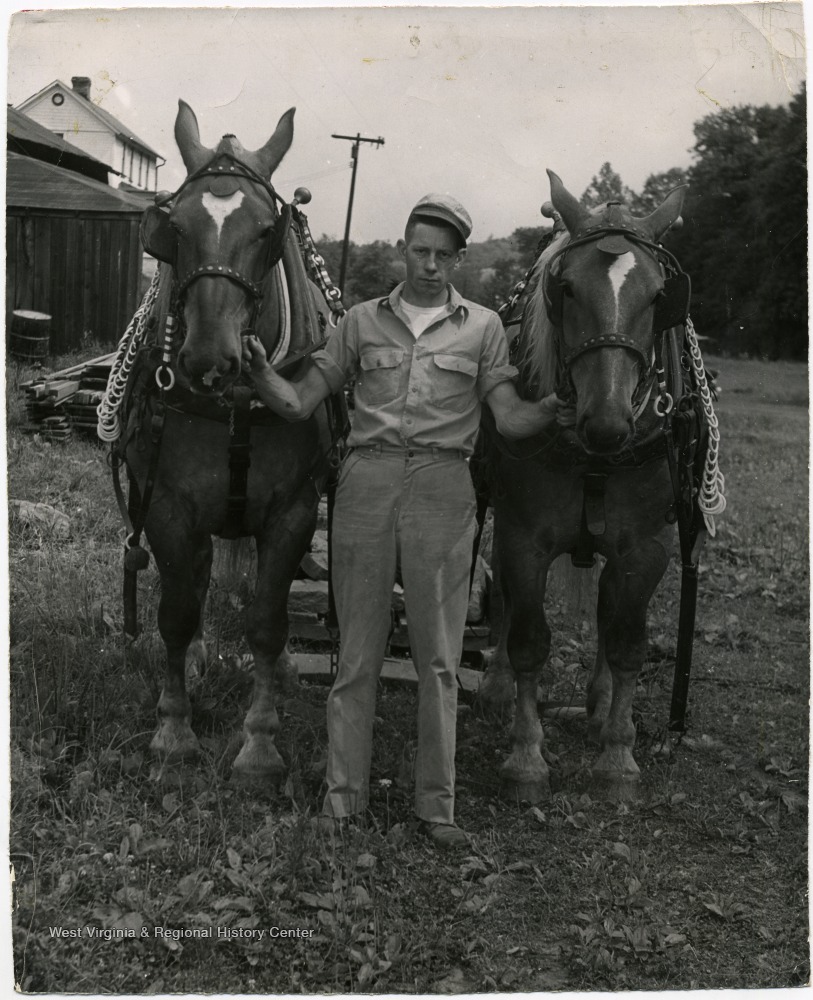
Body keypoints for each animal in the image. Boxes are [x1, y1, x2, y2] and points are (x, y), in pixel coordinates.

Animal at [112, 99, 340, 780]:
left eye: (268, 231)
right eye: (173, 228)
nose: (209, 360)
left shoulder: (293, 512)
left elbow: (267, 621)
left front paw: (259, 744)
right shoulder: (166, 504)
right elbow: (176, 612)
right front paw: (173, 730)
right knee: (197, 578)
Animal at [478, 170, 700, 796]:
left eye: (659, 297)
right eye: (567, 289)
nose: (607, 425)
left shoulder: (646, 548)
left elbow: (626, 643)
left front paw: (618, 755)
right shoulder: (522, 537)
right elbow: (529, 639)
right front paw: (526, 756)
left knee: (607, 608)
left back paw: (600, 706)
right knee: (506, 601)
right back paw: (498, 687)